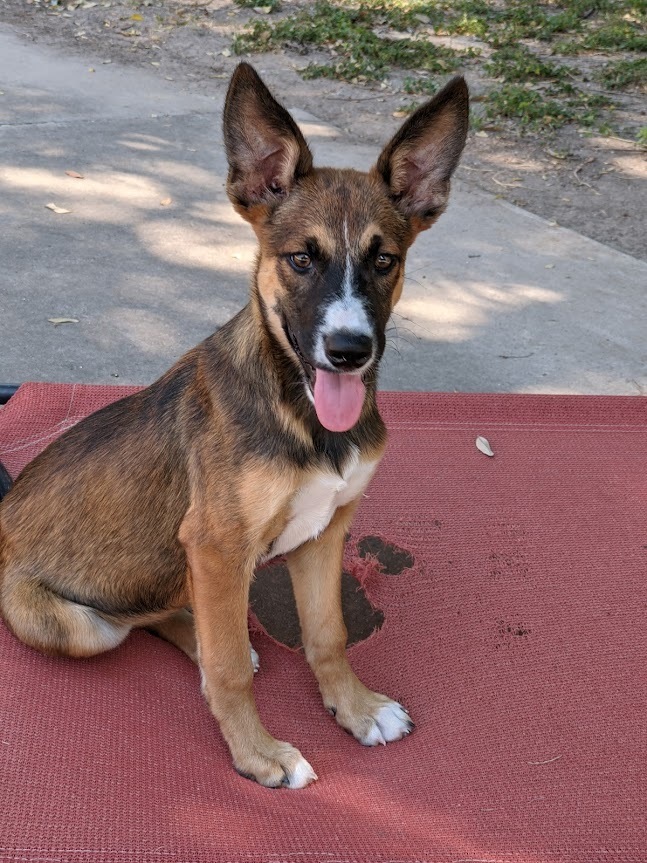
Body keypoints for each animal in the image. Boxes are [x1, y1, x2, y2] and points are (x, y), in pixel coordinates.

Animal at [0, 60, 468, 788]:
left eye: (383, 260)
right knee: (144, 622)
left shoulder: (324, 533)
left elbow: (327, 635)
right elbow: (225, 674)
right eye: (300, 259)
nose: (349, 350)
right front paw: (258, 753)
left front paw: (356, 708)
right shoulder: (217, 543)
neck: (302, 414)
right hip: (80, 624)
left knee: (169, 608)